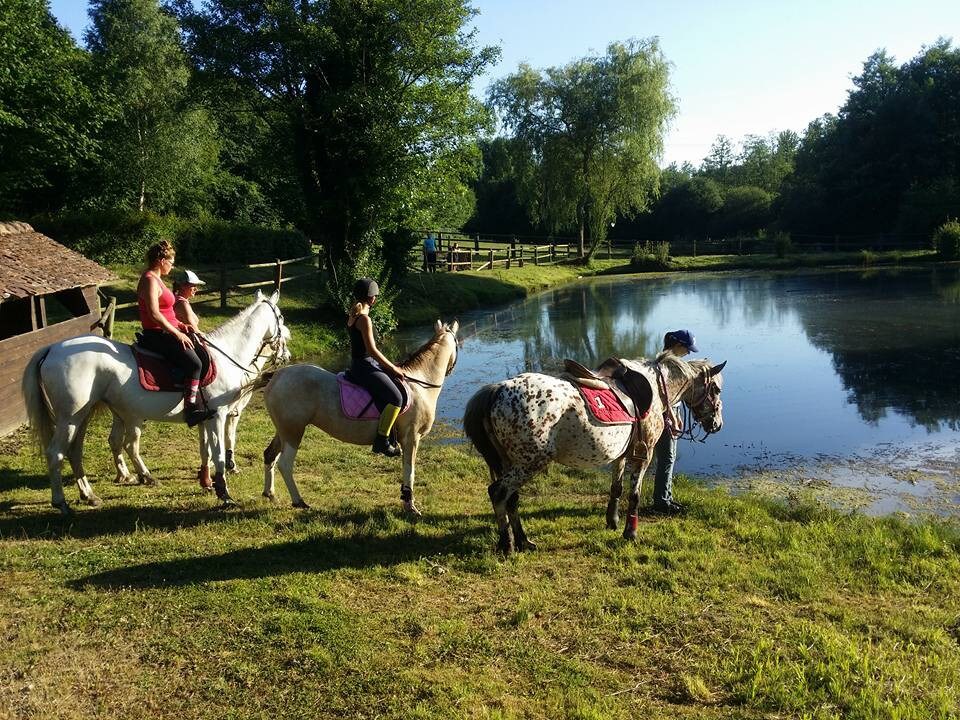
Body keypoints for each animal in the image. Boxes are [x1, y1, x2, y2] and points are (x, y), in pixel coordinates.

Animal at [22, 286, 290, 512]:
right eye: (281, 317)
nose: (286, 353)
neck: (225, 355)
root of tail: (52, 348)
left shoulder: (207, 418)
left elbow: (206, 451)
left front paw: (208, 483)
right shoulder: (219, 415)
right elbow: (219, 454)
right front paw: (224, 493)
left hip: (83, 416)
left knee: (75, 451)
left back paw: (90, 495)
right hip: (70, 418)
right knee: (56, 453)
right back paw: (61, 502)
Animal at [260, 318, 460, 516]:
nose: (451, 370)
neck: (420, 385)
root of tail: (277, 376)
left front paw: (406, 500)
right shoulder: (411, 438)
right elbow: (410, 471)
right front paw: (410, 505)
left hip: (283, 430)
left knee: (270, 455)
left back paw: (270, 494)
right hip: (293, 431)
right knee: (285, 464)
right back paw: (298, 501)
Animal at [462, 352, 724, 556]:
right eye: (716, 389)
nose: (717, 424)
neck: (656, 388)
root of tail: (497, 390)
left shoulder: (621, 454)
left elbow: (616, 488)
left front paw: (612, 521)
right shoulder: (644, 453)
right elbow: (634, 495)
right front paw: (630, 533)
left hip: (511, 463)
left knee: (511, 499)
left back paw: (524, 541)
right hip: (528, 464)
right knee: (498, 493)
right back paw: (507, 545)